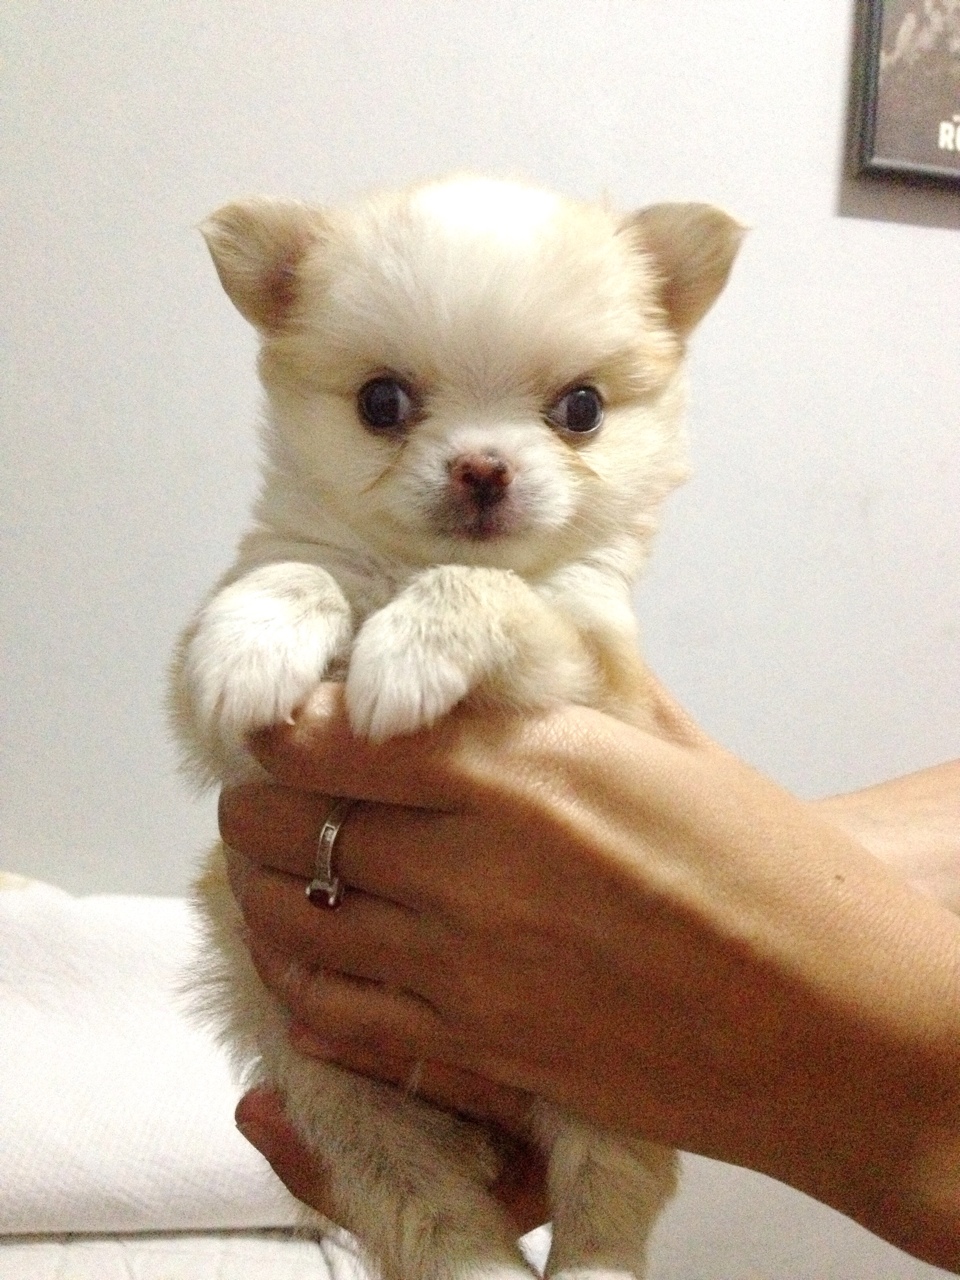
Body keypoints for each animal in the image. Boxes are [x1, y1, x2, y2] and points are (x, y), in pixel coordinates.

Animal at [171, 174, 742, 1280]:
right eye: (381, 404)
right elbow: (290, 577)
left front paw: (412, 646)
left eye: (581, 410)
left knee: (606, 1199)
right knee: (430, 1210)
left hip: (611, 1074)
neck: (399, 570)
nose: (482, 468)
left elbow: (484, 589)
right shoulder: (227, 744)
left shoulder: (589, 672)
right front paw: (256, 643)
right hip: (344, 1097)